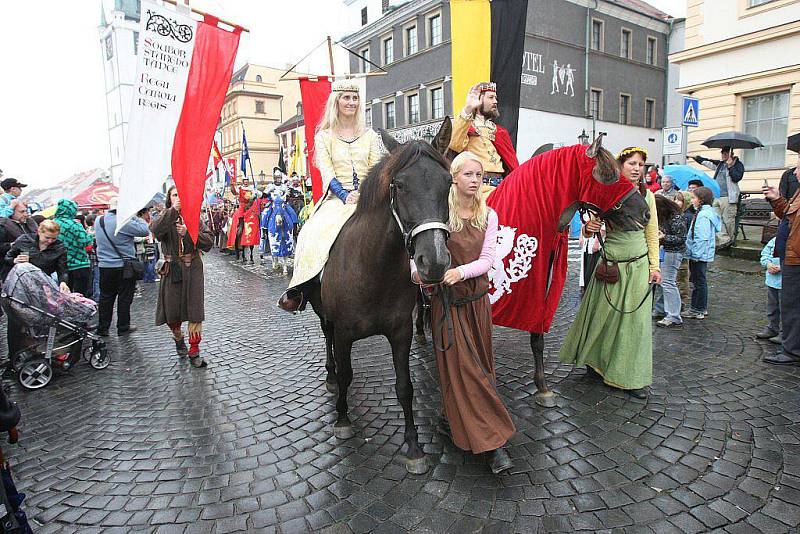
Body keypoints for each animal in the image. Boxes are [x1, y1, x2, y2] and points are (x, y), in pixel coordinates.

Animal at [308, 119, 454, 476]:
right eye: (398, 185)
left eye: (448, 182)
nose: (434, 261)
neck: (372, 268)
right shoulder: (344, 333)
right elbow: (346, 374)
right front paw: (343, 419)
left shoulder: (400, 333)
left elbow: (405, 387)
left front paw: (413, 446)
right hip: (323, 315)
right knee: (327, 340)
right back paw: (330, 377)